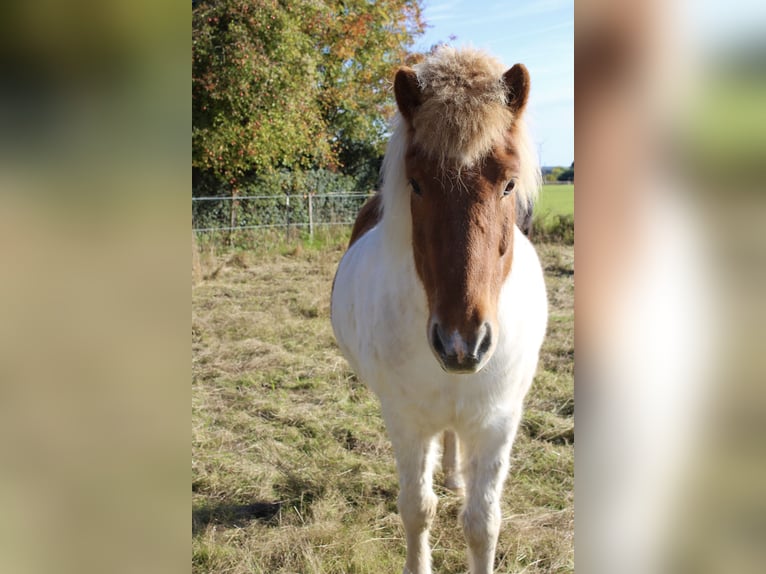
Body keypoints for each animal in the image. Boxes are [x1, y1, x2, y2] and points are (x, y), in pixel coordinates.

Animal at [331, 47, 548, 574]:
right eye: (416, 184)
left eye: (508, 184)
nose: (461, 342)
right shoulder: (406, 421)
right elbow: (417, 510)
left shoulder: (498, 423)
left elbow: (483, 524)